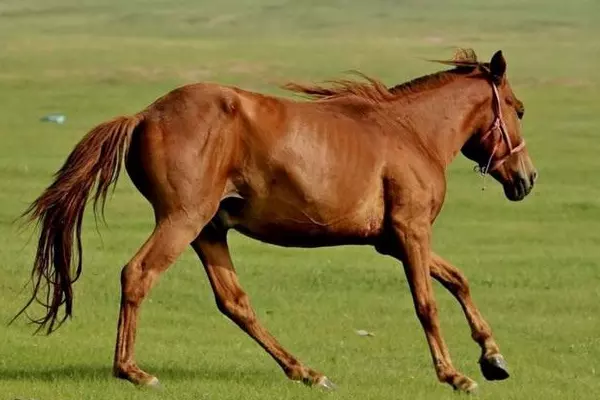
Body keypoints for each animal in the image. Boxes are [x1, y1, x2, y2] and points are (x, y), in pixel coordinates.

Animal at [17, 50, 536, 394]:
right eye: (519, 109)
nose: (527, 179)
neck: (411, 134)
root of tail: (145, 116)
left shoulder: (391, 240)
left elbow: (458, 280)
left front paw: (493, 357)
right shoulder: (411, 232)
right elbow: (427, 303)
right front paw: (455, 374)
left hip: (208, 231)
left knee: (234, 302)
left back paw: (304, 370)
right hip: (182, 221)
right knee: (138, 274)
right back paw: (133, 371)